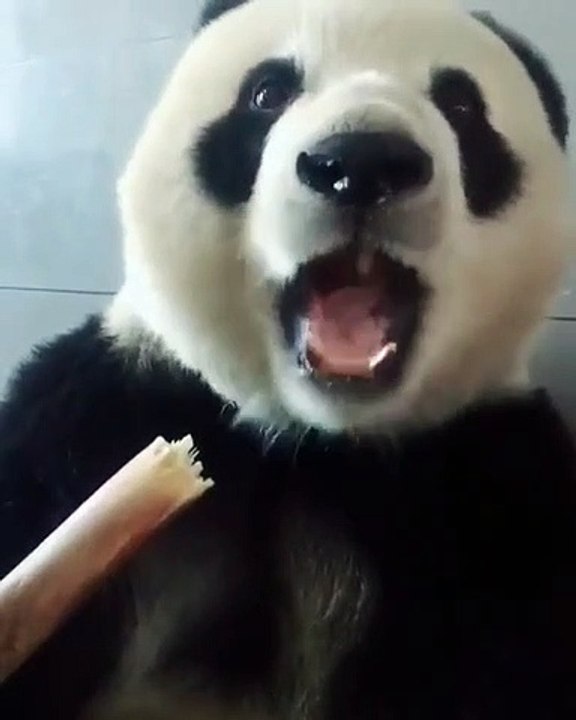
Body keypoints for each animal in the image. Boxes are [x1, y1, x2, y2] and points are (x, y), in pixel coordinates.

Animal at [1, 0, 575, 717]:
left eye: (462, 104)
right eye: (268, 92)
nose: (362, 161)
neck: (312, 442)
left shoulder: (494, 490)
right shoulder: (107, 410)